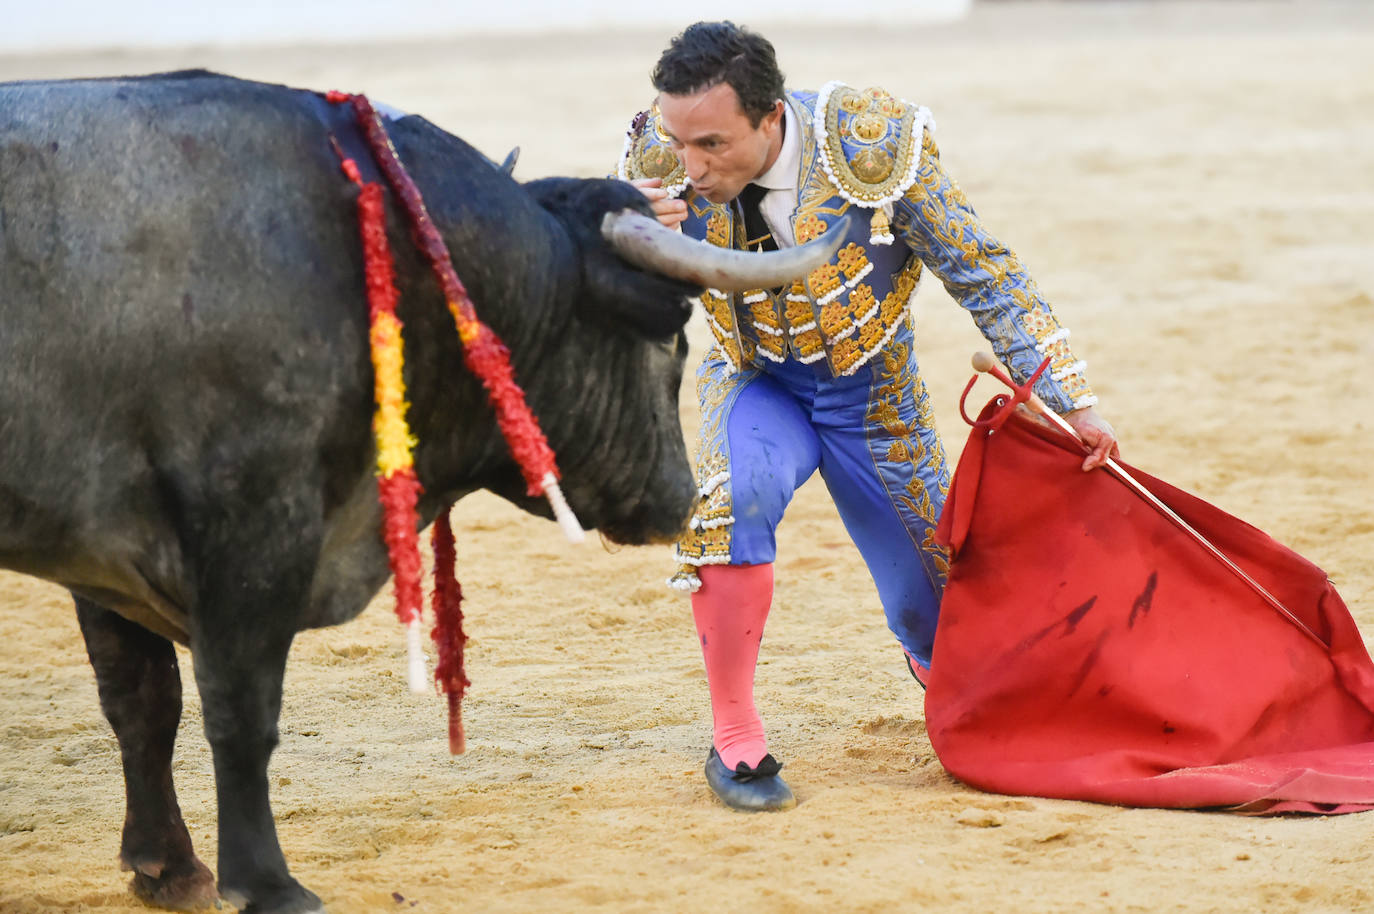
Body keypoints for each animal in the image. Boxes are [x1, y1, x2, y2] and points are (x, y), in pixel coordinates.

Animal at [0, 73, 840, 912]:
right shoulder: (252, 528)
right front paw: (267, 883)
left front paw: (167, 868)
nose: (681, 496)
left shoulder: (106, 552)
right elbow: (240, 709)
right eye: (671, 339)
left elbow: (143, 701)